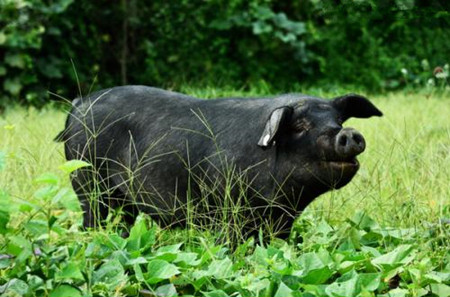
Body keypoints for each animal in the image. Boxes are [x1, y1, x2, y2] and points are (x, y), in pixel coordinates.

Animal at [54, 85, 382, 236]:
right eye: (300, 125)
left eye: (338, 120)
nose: (349, 134)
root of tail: (80, 103)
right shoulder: (225, 209)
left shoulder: (281, 221)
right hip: (85, 180)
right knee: (92, 216)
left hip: (123, 199)